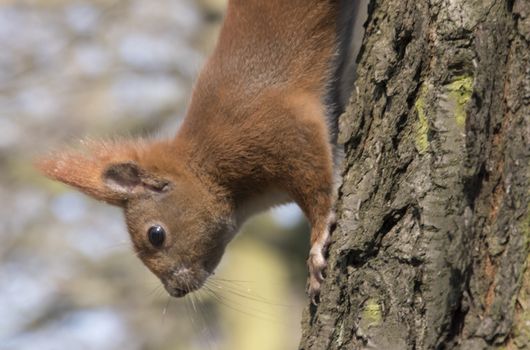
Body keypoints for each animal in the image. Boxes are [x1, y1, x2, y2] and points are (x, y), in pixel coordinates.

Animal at [39, 0, 352, 304]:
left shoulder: (280, 134)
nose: (175, 291)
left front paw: (317, 247)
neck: (206, 166)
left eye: (155, 235)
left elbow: (317, 189)